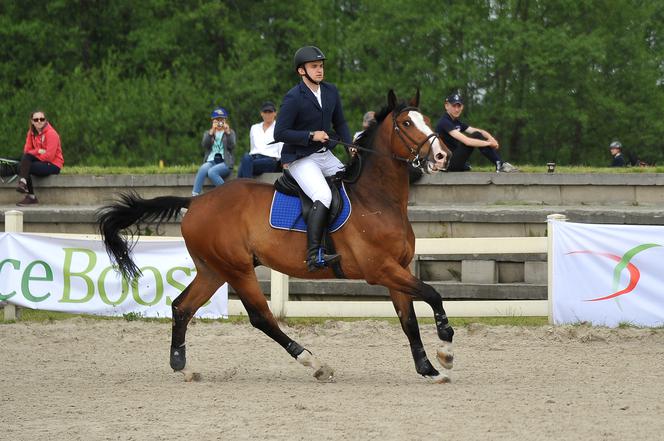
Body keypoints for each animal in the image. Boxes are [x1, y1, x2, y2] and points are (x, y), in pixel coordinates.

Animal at [98, 89, 456, 382]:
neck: (376, 199)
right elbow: (433, 294)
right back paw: (314, 363)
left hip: (214, 269)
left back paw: (182, 367)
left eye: (426, 119)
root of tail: (196, 201)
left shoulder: (398, 268)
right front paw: (446, 343)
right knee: (262, 317)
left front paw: (429, 368)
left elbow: (409, 320)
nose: (443, 156)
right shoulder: (380, 269)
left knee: (182, 307)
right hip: (238, 269)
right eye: (406, 123)